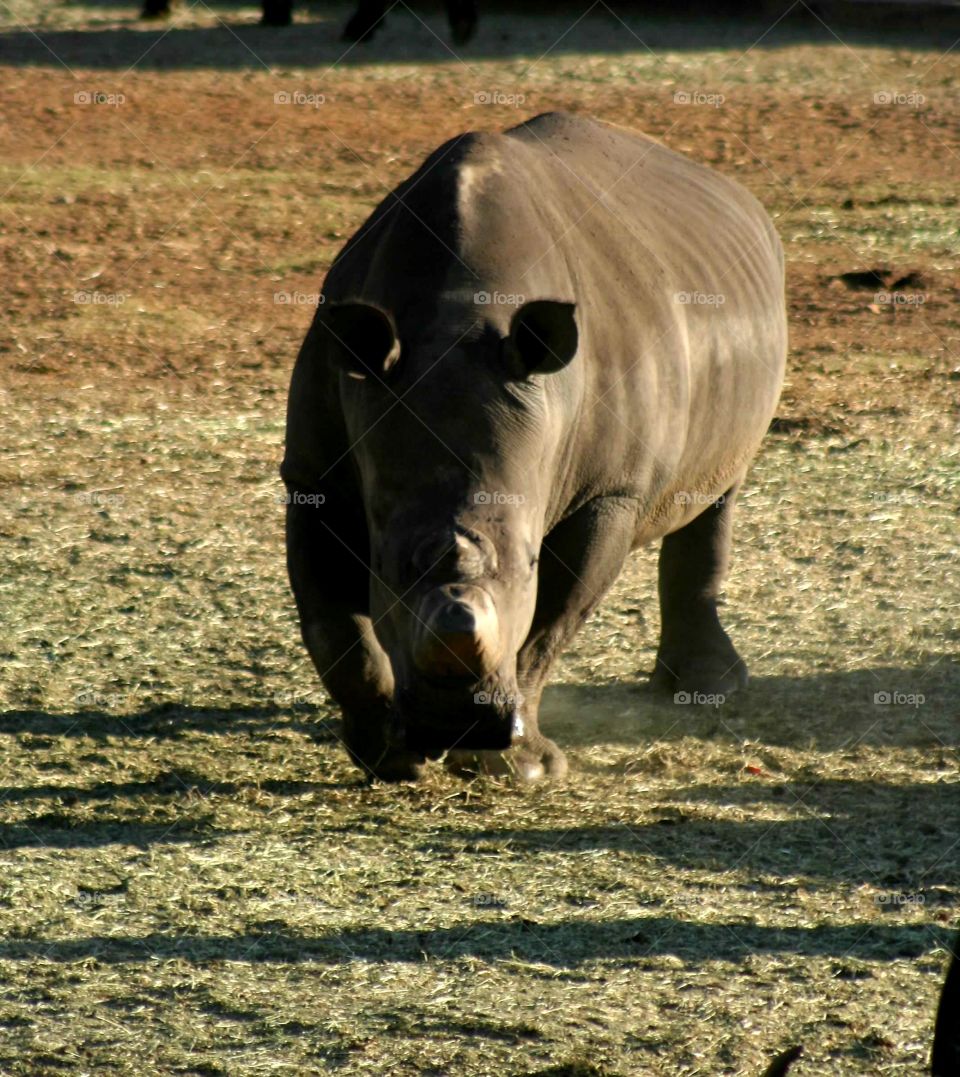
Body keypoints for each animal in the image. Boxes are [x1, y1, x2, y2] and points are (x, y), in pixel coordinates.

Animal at [282, 111, 787, 782]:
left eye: (528, 561)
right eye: (388, 569)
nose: (452, 723)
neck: (455, 318)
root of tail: (735, 191)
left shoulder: (609, 492)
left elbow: (548, 625)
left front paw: (518, 768)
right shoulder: (315, 476)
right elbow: (334, 630)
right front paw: (391, 757)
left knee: (717, 492)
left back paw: (708, 689)